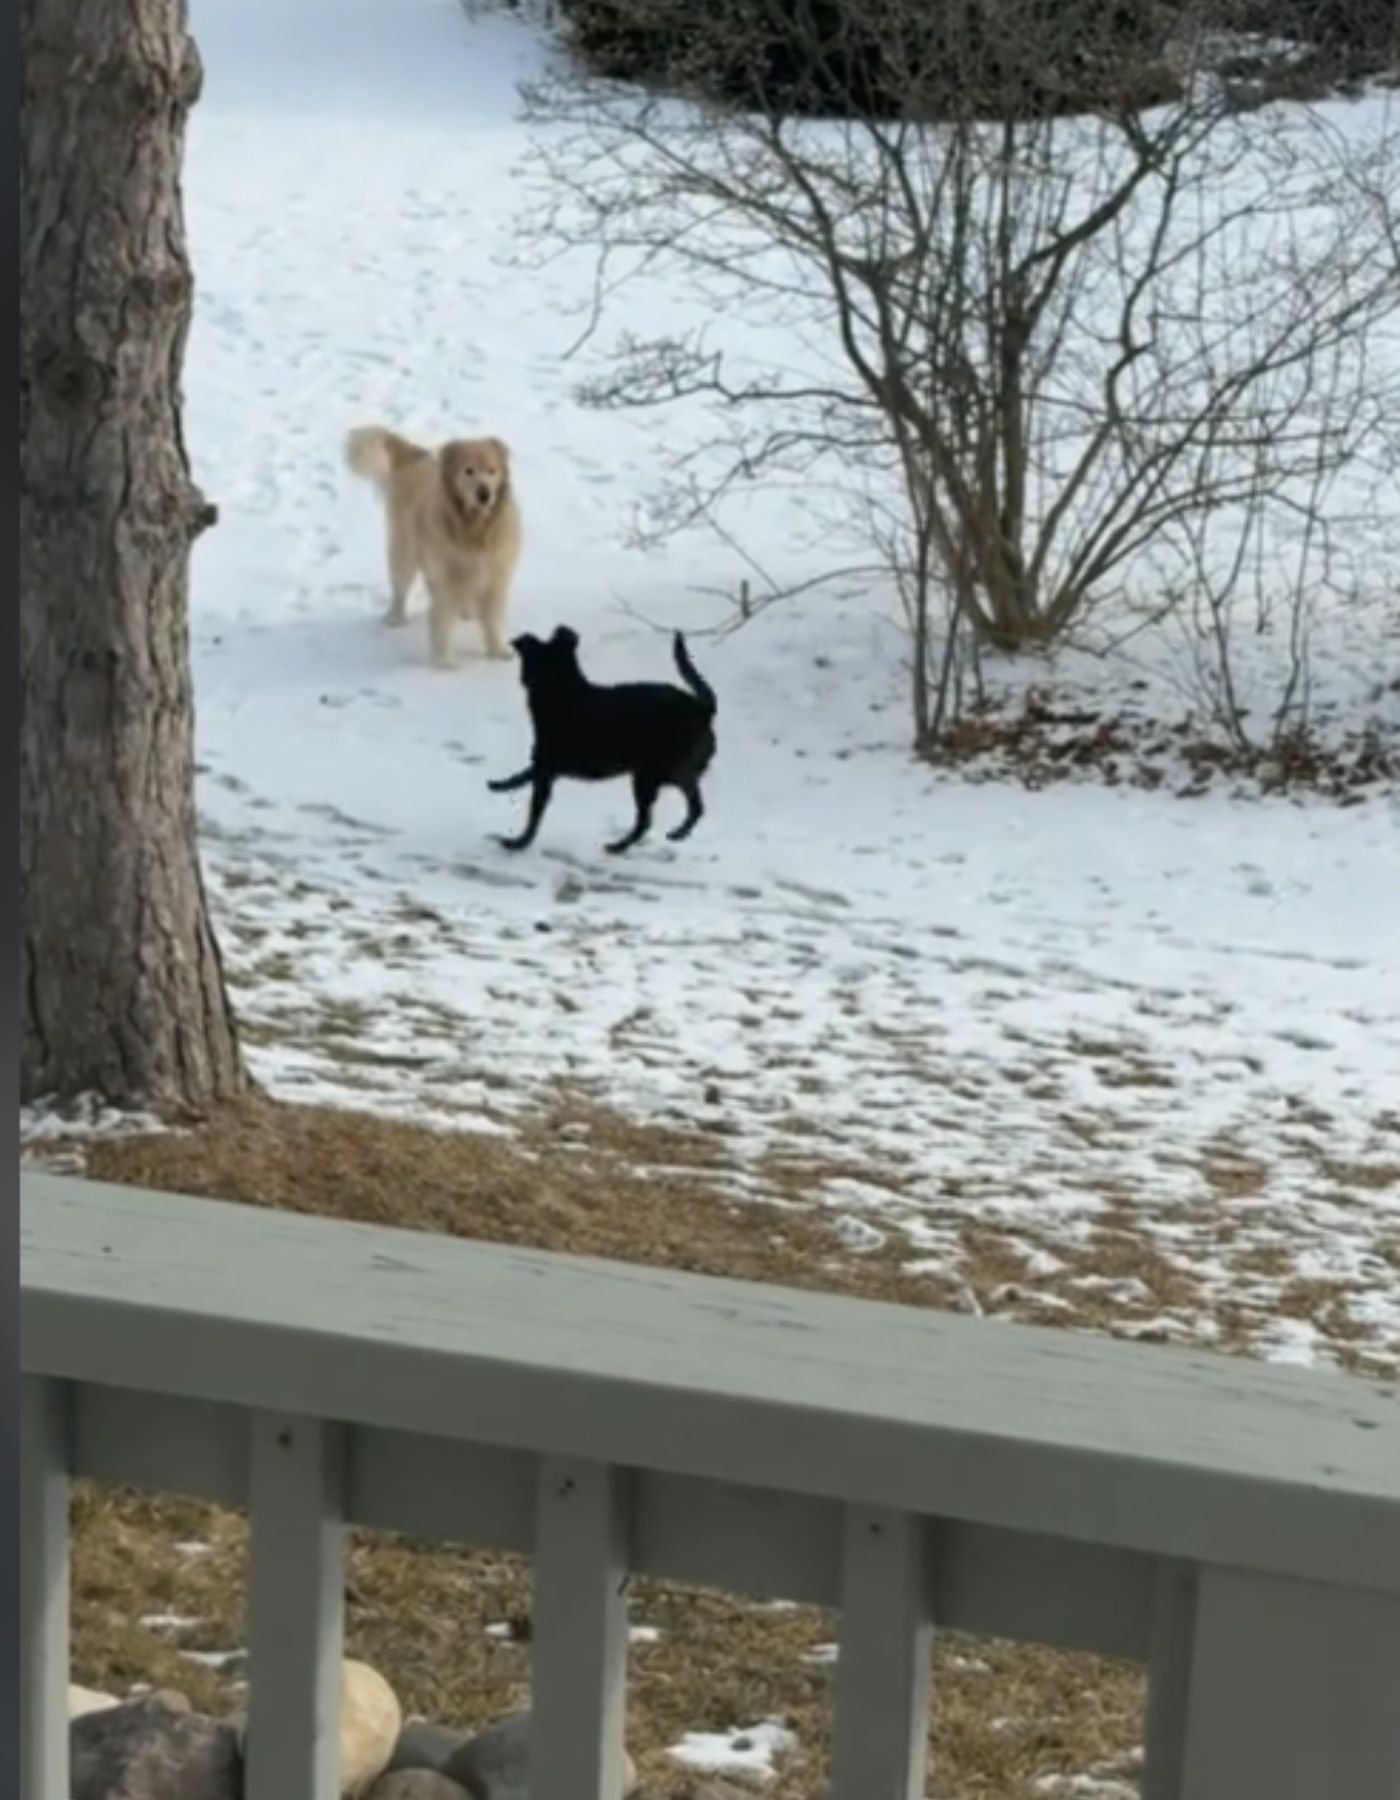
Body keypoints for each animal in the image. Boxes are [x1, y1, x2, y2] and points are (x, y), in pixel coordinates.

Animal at [345, 421, 521, 669]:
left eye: (491, 470)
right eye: (468, 470)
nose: (484, 493)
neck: (473, 527)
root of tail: (414, 456)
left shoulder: (496, 576)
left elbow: (492, 619)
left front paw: (497, 651)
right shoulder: (446, 577)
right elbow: (442, 619)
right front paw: (444, 661)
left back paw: (467, 611)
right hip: (405, 549)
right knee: (400, 587)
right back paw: (396, 618)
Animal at [485, 626, 716, 856]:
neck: (561, 690)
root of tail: (703, 709)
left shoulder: (546, 768)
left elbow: (533, 808)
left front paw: (518, 842)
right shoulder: (545, 766)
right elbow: (524, 777)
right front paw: (499, 786)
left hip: (652, 775)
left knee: (652, 819)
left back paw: (622, 845)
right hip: (666, 774)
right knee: (694, 805)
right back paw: (676, 833)